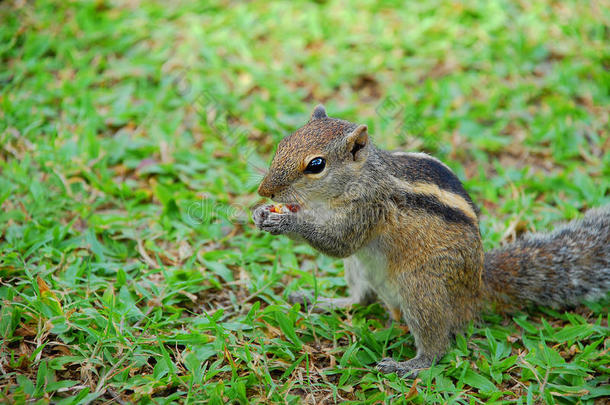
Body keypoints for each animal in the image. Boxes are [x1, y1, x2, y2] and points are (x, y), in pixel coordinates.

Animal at [252, 104, 608, 376]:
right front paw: (261, 213)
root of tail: (476, 287)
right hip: (360, 269)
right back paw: (323, 301)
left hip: (422, 288)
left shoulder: (369, 211)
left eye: (316, 165)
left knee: (437, 344)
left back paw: (410, 366)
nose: (265, 191)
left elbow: (338, 243)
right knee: (361, 299)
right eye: (283, 142)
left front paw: (286, 220)